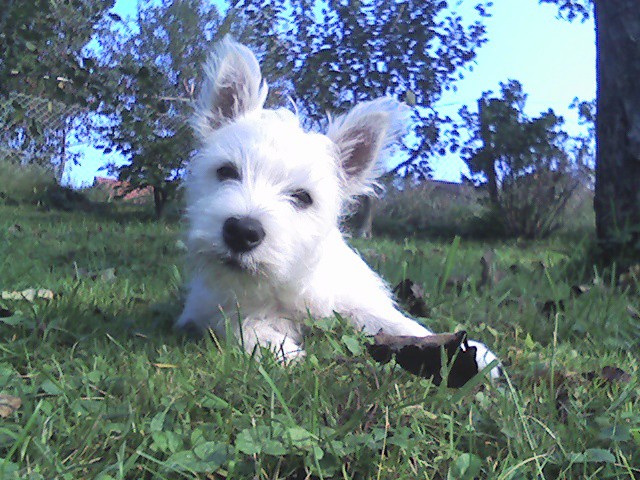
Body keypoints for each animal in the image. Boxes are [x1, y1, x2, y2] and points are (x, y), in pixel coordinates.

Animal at [176, 37, 500, 378]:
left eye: (303, 197)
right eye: (226, 171)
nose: (241, 231)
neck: (287, 283)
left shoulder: (353, 300)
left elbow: (395, 322)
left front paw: (473, 354)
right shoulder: (208, 308)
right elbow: (239, 322)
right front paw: (281, 350)